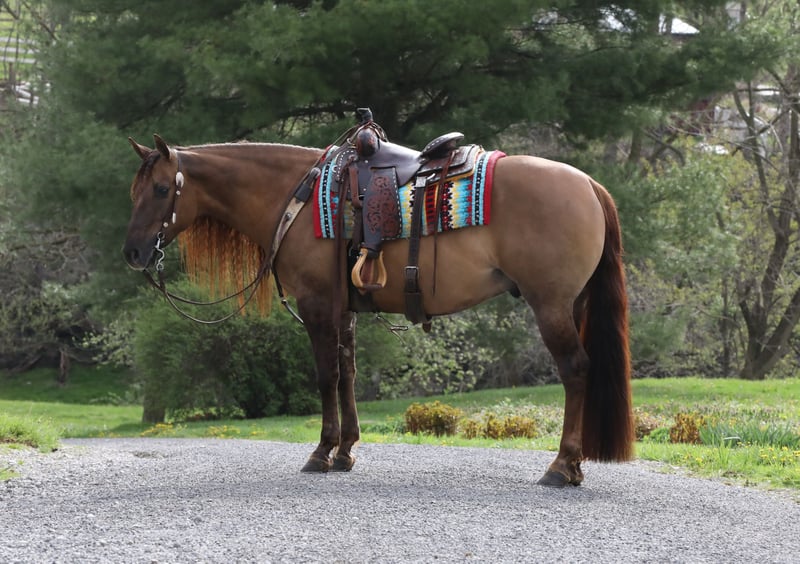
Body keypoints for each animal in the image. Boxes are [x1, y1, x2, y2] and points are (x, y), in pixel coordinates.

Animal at [123, 133, 636, 490]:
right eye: (135, 190)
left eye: (162, 189)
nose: (132, 252)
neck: (298, 198)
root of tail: (588, 185)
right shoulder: (343, 309)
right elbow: (348, 374)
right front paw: (346, 451)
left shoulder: (317, 306)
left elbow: (326, 376)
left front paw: (322, 452)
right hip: (573, 304)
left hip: (551, 305)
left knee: (575, 371)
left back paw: (562, 465)